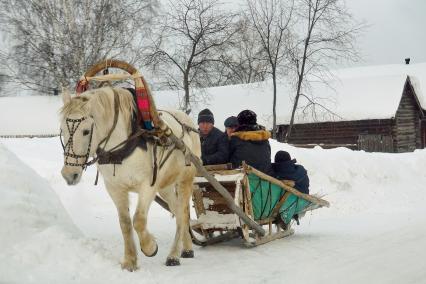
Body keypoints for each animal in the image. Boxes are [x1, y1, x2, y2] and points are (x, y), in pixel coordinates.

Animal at [59, 87, 202, 270]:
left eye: (85, 131)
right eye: (62, 130)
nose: (69, 174)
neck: (122, 148)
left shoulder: (148, 185)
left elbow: (139, 220)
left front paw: (150, 247)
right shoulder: (114, 188)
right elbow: (125, 223)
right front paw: (129, 261)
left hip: (185, 180)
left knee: (183, 214)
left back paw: (174, 255)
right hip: (166, 186)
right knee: (177, 211)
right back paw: (186, 247)